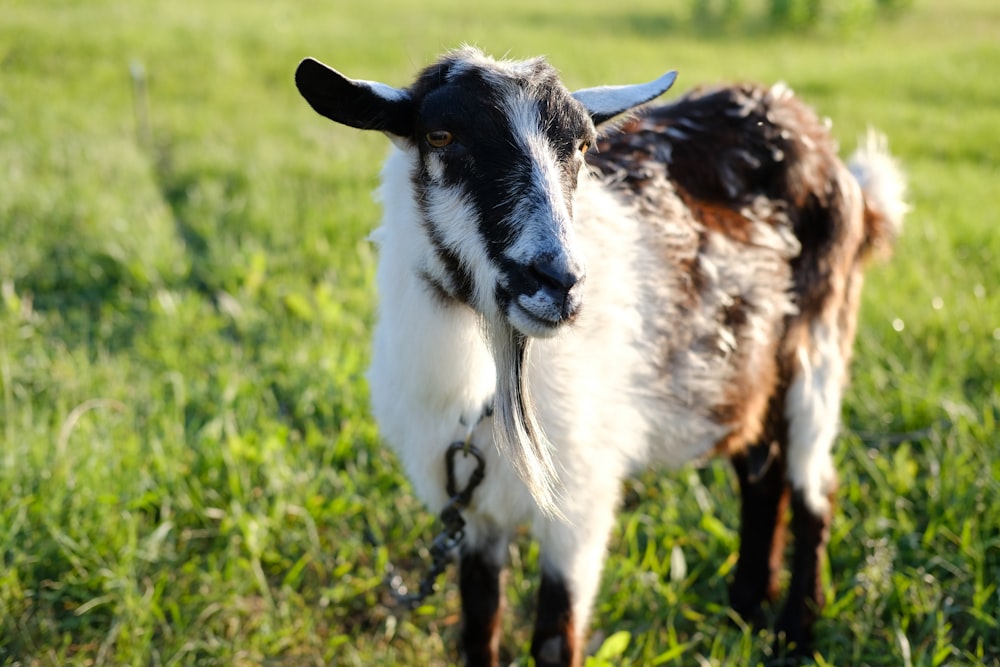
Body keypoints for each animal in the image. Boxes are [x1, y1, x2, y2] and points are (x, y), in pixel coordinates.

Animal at [294, 48, 908, 667]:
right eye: (440, 135)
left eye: (584, 146)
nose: (559, 280)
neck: (477, 389)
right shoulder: (475, 512)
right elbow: (478, 627)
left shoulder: (580, 506)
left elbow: (551, 639)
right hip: (745, 376)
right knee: (762, 470)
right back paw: (745, 607)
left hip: (820, 346)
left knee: (814, 488)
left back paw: (794, 633)